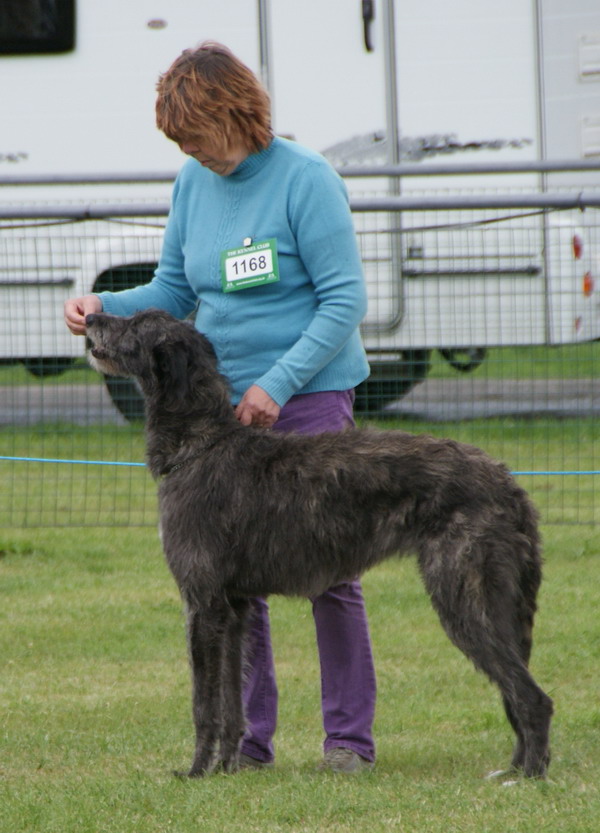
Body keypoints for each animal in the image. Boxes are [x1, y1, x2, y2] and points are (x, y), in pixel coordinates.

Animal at [84, 308, 552, 780]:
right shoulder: (233, 607)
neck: (203, 443)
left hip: (464, 595)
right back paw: (515, 768)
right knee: (516, 690)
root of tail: (509, 483)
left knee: (533, 697)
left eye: (136, 325)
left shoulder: (203, 602)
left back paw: (527, 776)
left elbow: (204, 702)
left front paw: (197, 770)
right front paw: (227, 767)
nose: (90, 317)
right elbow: (233, 702)